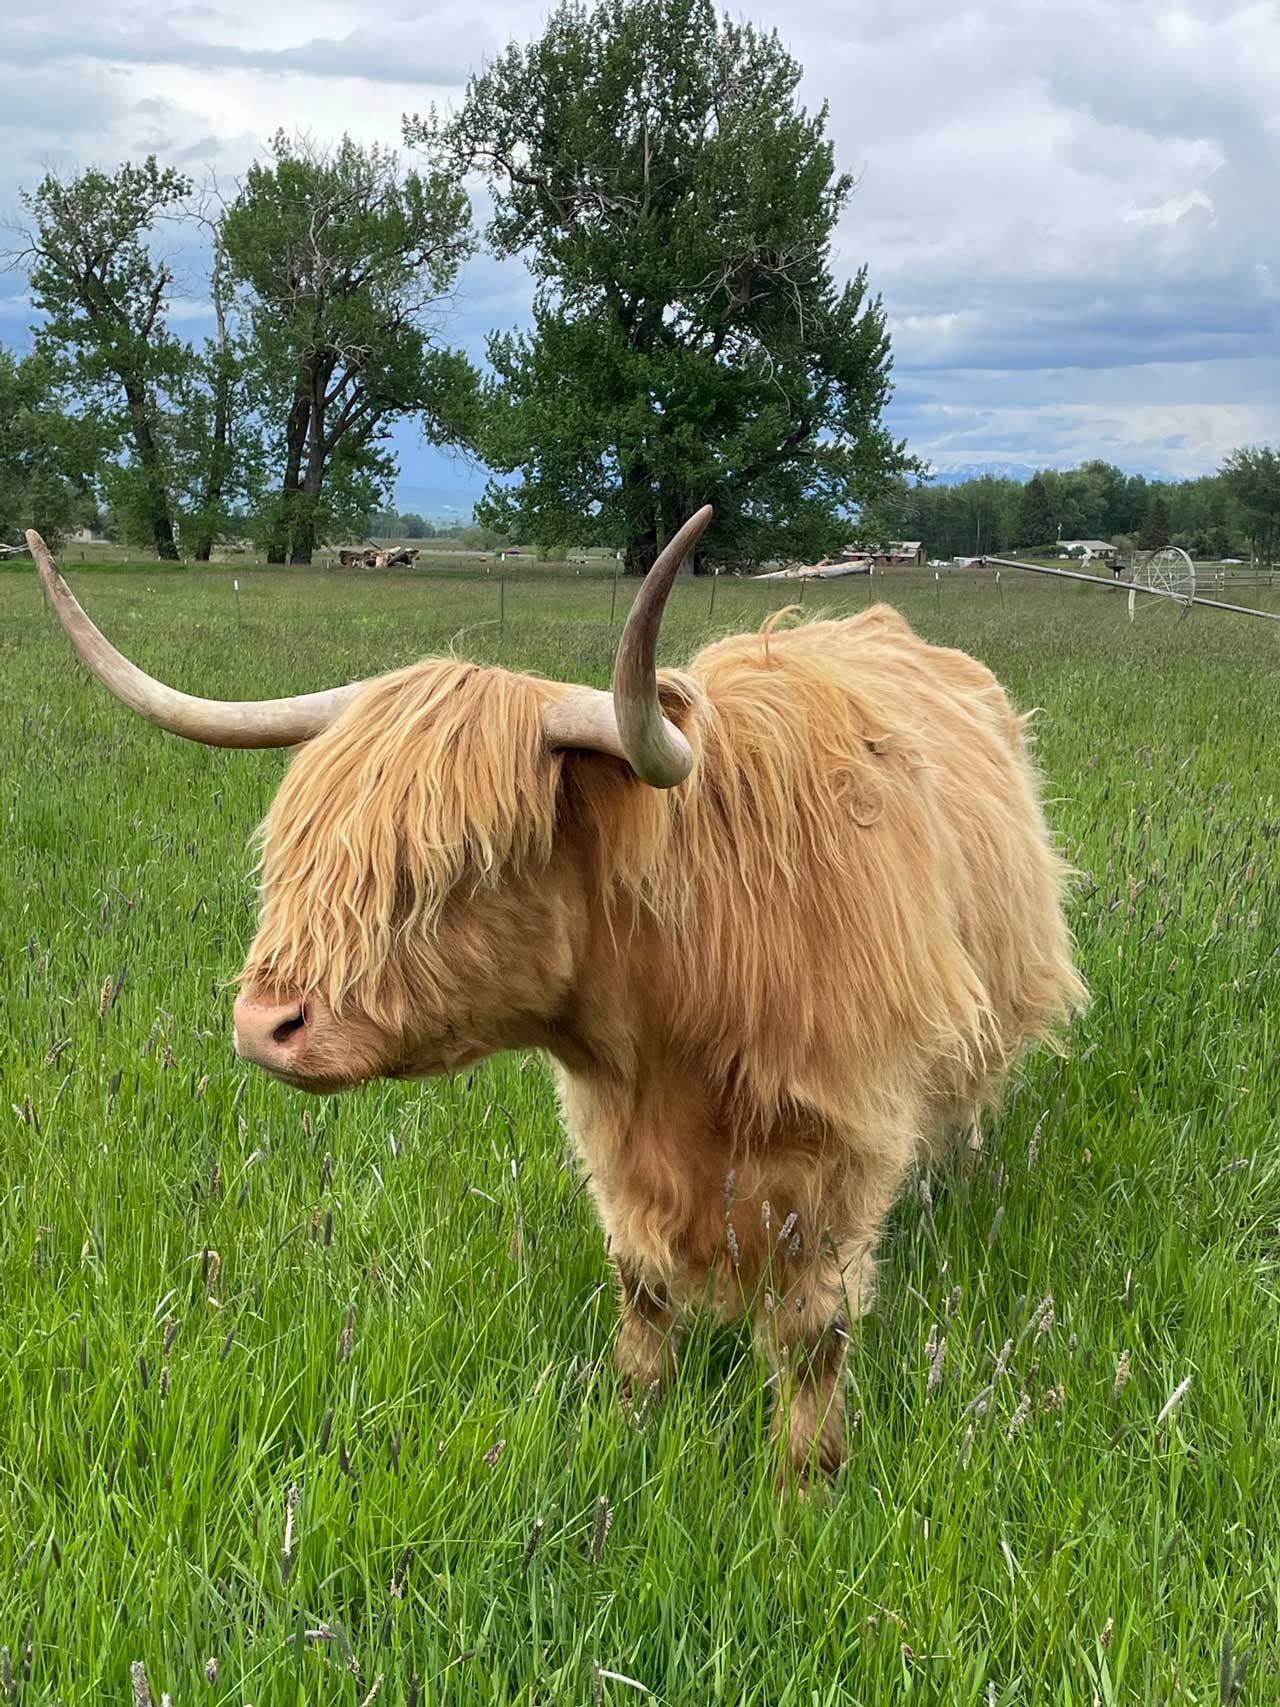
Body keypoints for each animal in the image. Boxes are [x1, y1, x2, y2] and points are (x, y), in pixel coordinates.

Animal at [30, 505, 1085, 1481]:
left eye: (459, 865)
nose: (264, 1025)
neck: (685, 991)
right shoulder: (616, 1139)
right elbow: (641, 1293)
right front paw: (634, 1426)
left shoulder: (837, 1144)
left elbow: (809, 1337)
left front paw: (805, 1488)